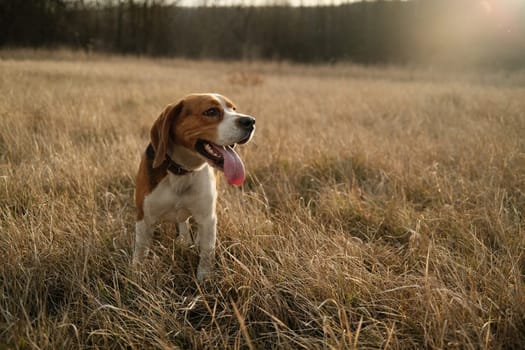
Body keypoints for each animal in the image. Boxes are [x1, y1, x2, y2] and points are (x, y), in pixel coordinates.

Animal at [133, 94, 256, 280]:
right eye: (211, 111)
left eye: (234, 109)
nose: (251, 121)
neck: (182, 171)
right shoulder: (144, 218)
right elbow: (140, 251)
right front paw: (135, 276)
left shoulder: (207, 217)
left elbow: (207, 252)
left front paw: (204, 278)